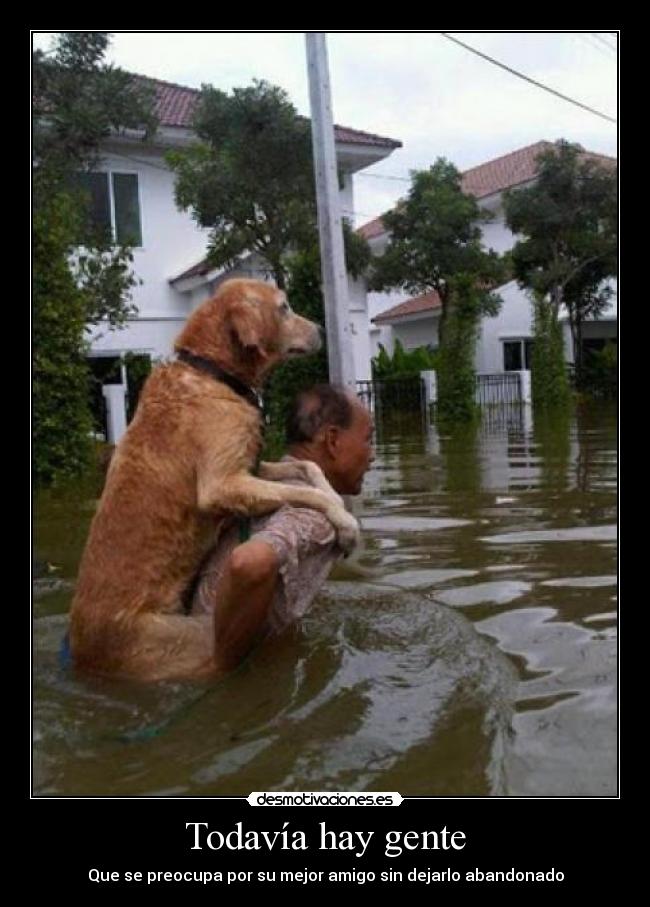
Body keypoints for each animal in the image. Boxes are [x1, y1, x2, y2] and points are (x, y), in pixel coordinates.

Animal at [69, 278, 360, 680]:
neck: (214, 373)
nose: (320, 327)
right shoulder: (222, 483)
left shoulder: (248, 466)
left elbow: (307, 469)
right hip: (183, 638)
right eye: (284, 307)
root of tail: (81, 653)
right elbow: (309, 495)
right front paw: (346, 523)